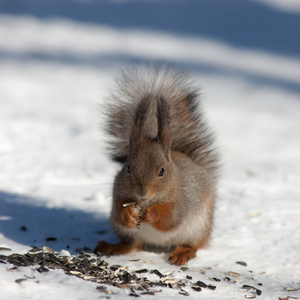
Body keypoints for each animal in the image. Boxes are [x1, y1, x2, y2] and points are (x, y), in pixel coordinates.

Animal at [95, 65, 219, 264]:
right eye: (128, 167)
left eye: (162, 171)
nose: (142, 191)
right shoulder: (118, 190)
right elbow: (118, 211)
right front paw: (127, 214)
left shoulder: (182, 201)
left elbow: (171, 218)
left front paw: (152, 214)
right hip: (130, 233)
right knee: (133, 245)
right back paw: (113, 247)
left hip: (199, 227)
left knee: (194, 244)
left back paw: (183, 252)